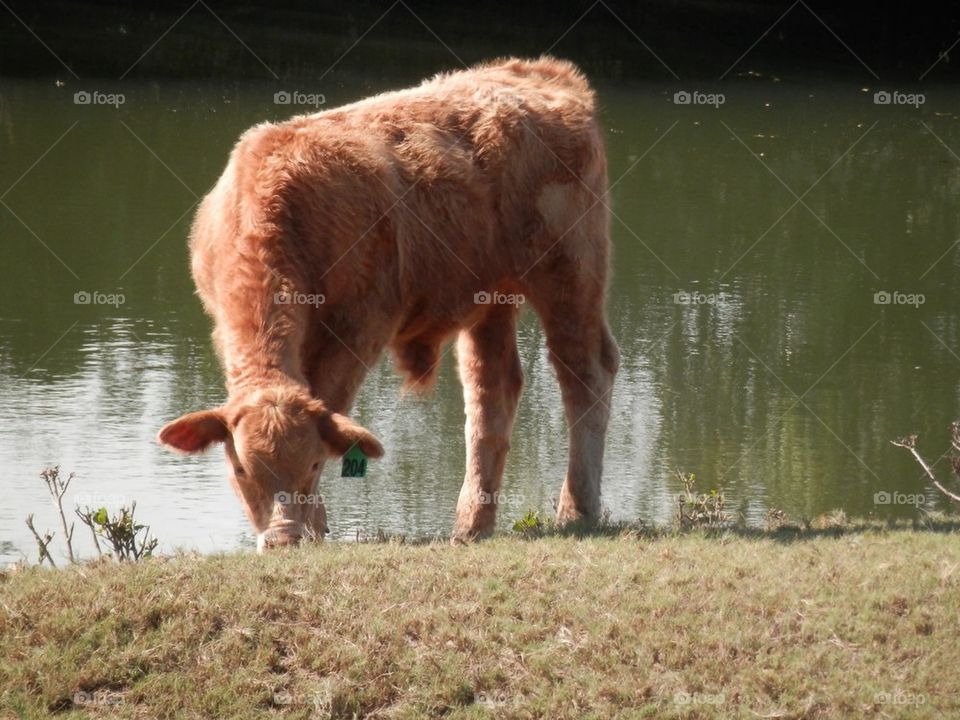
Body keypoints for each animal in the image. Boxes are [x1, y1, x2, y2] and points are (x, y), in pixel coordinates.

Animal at [157, 56, 619, 550]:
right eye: (240, 467)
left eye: (315, 464)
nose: (282, 539)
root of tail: (539, 72)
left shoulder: (359, 327)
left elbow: (332, 405)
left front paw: (315, 526)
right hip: (492, 297)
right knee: (492, 390)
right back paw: (471, 524)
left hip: (571, 272)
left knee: (585, 372)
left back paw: (577, 510)